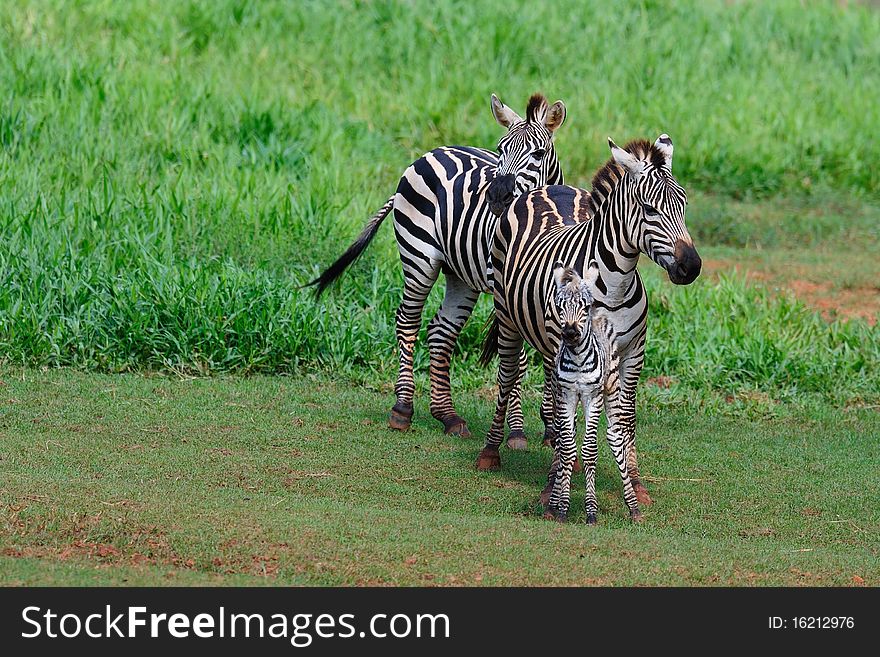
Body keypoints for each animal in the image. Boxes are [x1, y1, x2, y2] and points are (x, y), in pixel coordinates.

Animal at [310, 92, 568, 444]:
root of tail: (432, 152)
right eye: (501, 148)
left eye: (538, 153)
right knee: (408, 321)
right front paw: (517, 429)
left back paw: (448, 416)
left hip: (461, 275)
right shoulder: (506, 288)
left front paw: (551, 425)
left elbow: (547, 351)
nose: (496, 197)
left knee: (441, 331)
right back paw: (403, 408)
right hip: (419, 256)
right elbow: (516, 356)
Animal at [544, 262, 640, 524]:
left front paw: (591, 511)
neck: (577, 359)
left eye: (585, 307)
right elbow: (567, 448)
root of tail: (600, 317)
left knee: (615, 437)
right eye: (560, 307)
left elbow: (589, 449)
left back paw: (633, 506)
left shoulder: (592, 396)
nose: (570, 334)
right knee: (564, 439)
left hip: (613, 388)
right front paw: (561, 507)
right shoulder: (567, 395)